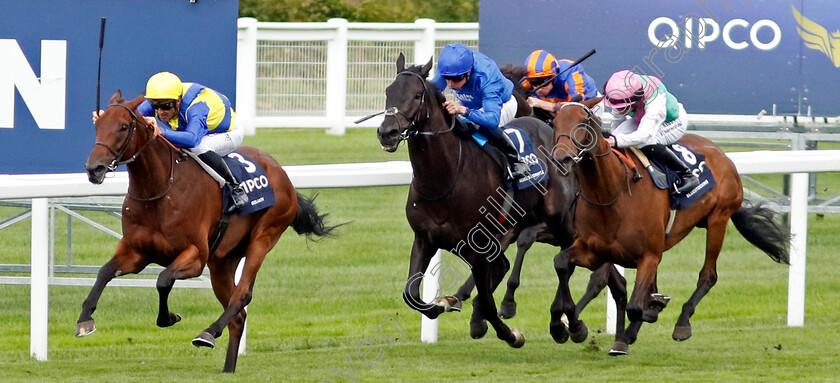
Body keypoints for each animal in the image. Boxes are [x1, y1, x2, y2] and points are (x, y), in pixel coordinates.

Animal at [78, 89, 334, 372]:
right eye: (97, 125)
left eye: (123, 127)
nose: (94, 169)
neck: (160, 191)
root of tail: (282, 173)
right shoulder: (136, 252)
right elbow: (104, 272)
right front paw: (85, 320)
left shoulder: (196, 256)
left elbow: (163, 279)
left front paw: (168, 317)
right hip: (222, 262)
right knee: (238, 316)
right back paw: (227, 369)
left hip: (264, 236)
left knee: (243, 295)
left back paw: (208, 333)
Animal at [548, 97, 792, 356]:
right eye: (555, 122)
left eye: (583, 122)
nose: (561, 158)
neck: (612, 194)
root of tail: (722, 155)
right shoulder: (595, 251)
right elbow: (561, 263)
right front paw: (569, 326)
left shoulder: (649, 255)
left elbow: (636, 306)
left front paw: (632, 327)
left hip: (718, 219)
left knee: (708, 275)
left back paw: (681, 323)